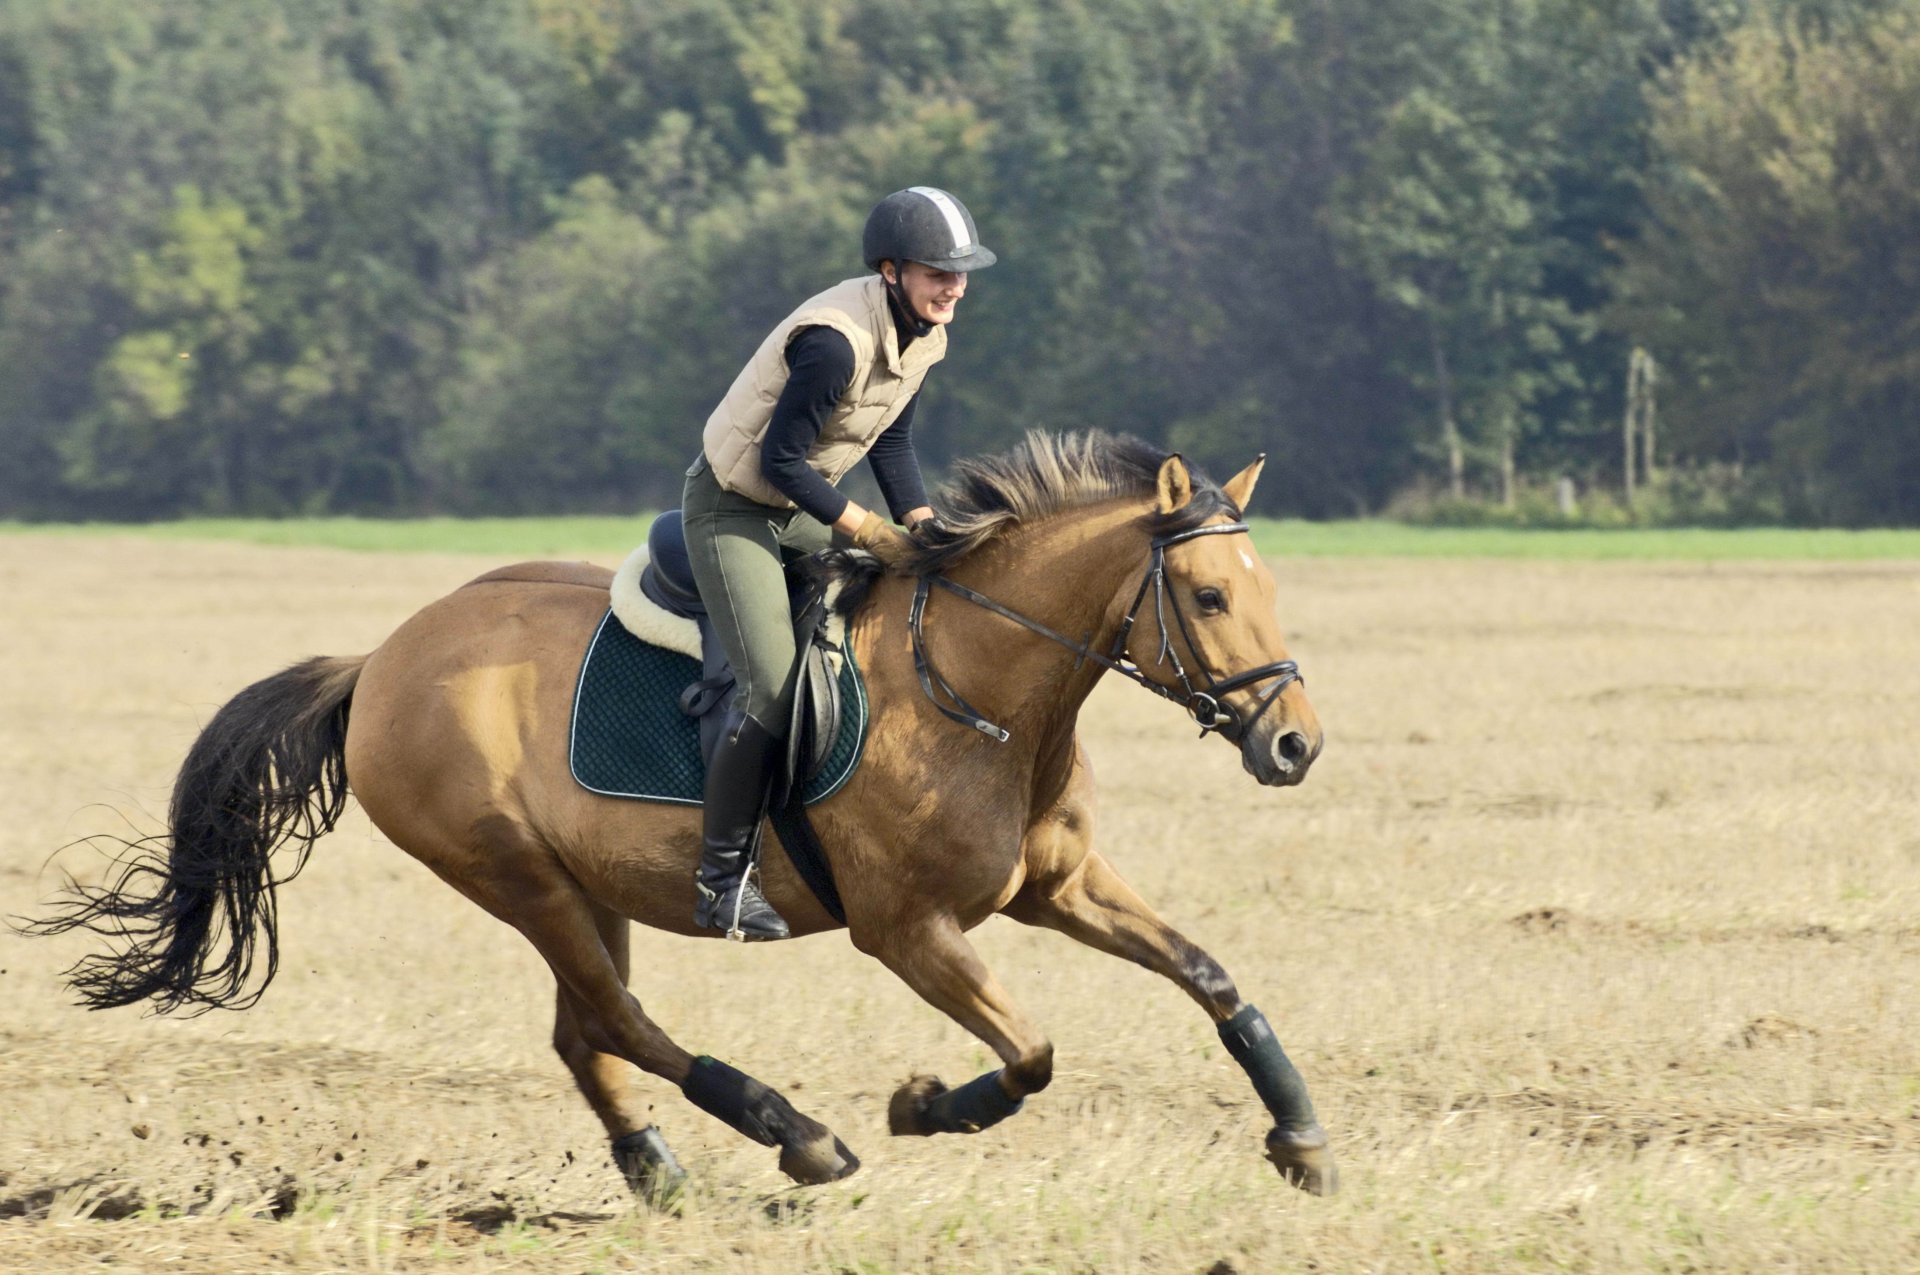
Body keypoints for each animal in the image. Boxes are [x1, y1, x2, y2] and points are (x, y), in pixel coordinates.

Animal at [33, 433, 1351, 1198]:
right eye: (1209, 594)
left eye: (1268, 585)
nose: (1295, 744)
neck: (983, 687)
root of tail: (382, 660)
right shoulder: (909, 931)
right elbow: (1028, 1055)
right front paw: (923, 1108)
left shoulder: (1060, 886)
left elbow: (1213, 979)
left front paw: (1300, 1139)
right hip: (516, 876)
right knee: (619, 1020)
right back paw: (795, 1135)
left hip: (580, 886)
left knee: (585, 1034)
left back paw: (659, 1170)